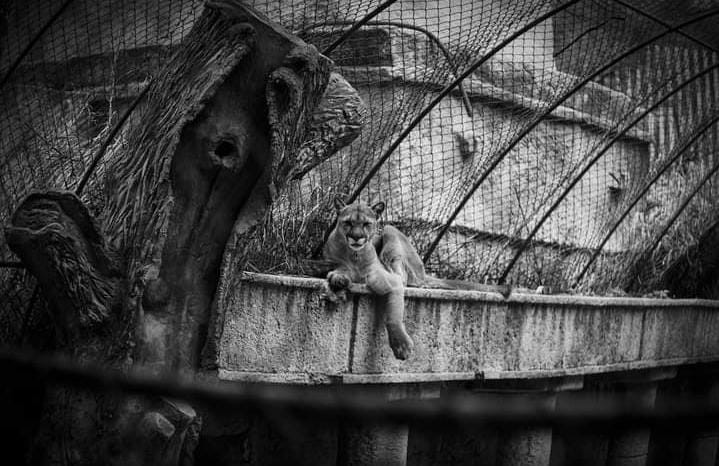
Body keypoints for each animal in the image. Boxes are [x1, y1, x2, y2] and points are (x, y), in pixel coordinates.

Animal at [323, 199, 511, 360]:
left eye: (366, 224)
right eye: (348, 223)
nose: (356, 237)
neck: (355, 255)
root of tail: (423, 270)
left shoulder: (389, 282)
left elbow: (393, 317)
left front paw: (401, 346)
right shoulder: (335, 262)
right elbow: (339, 270)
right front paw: (339, 278)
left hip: (390, 231)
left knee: (404, 277)